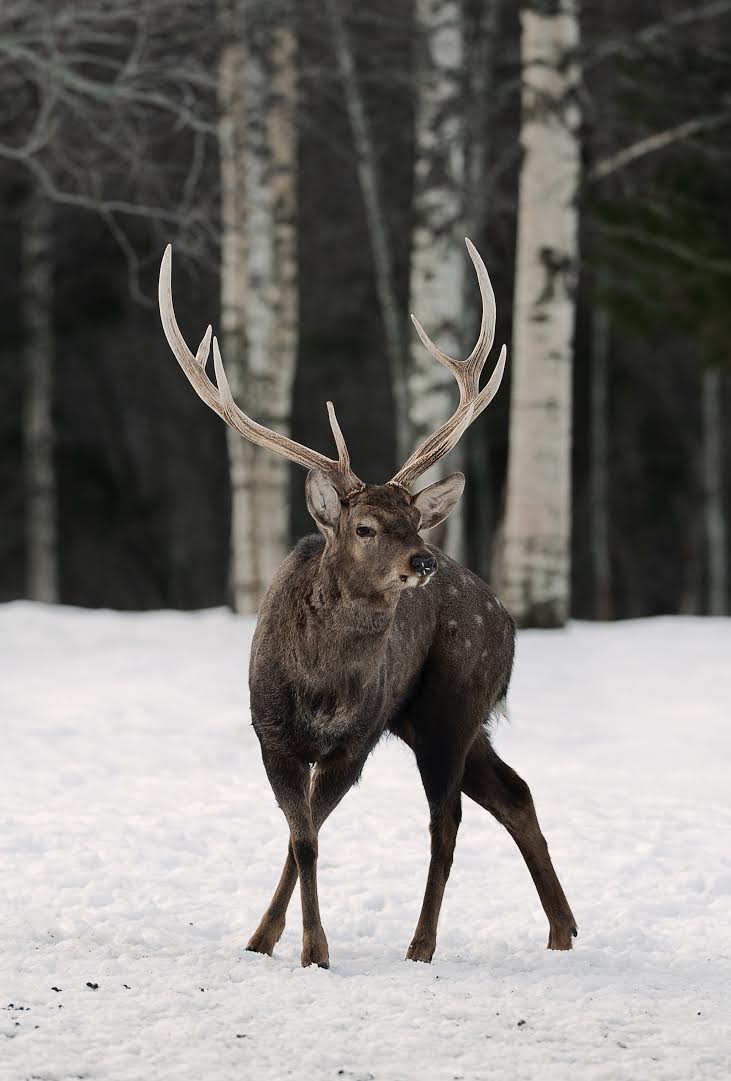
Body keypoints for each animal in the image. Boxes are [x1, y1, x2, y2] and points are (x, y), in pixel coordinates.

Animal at [160, 238, 575, 972]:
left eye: (413, 519)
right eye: (365, 527)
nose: (424, 560)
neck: (319, 689)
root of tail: (505, 619)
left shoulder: (354, 741)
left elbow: (309, 834)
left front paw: (313, 949)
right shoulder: (271, 734)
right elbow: (300, 836)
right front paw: (267, 939)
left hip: (450, 704)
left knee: (447, 820)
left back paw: (422, 944)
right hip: (434, 717)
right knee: (513, 792)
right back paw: (562, 931)